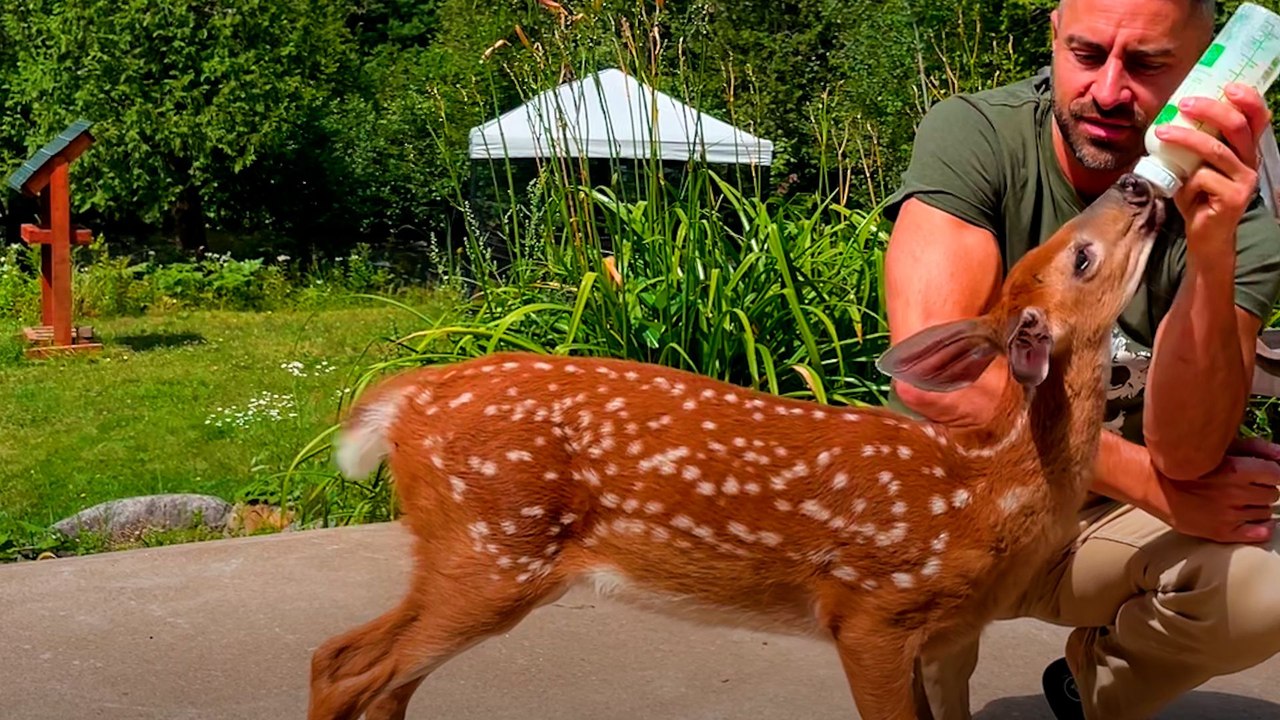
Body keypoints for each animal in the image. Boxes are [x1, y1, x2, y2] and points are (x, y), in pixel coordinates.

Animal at [307, 173, 1164, 720]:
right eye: (1079, 256)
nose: (1137, 185)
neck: (985, 490)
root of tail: (404, 401)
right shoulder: (871, 609)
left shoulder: (955, 636)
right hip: (490, 546)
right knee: (345, 666)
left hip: (474, 552)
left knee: (375, 678)